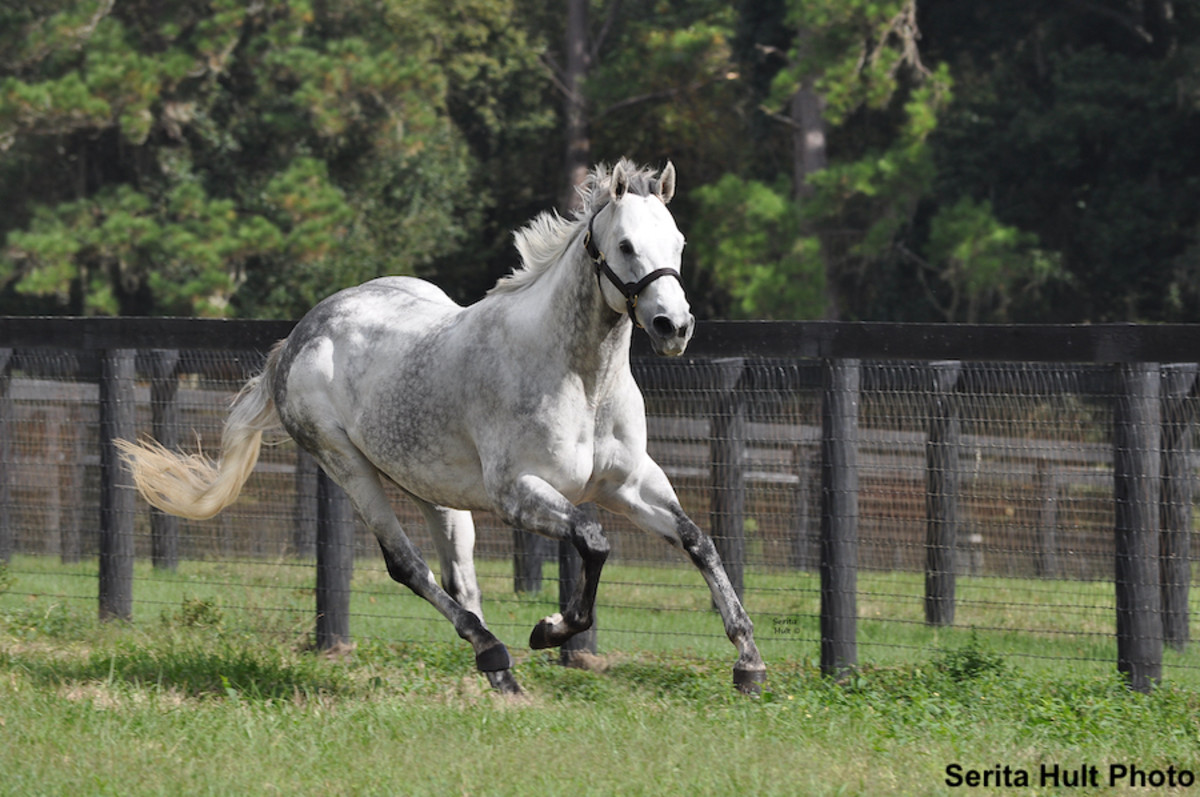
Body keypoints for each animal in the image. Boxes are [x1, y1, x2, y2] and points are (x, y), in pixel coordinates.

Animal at [117, 159, 766, 695]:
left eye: (678, 242)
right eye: (626, 245)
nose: (673, 327)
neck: (580, 380)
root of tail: (303, 332)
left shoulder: (627, 484)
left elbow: (698, 540)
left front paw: (749, 664)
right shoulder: (517, 494)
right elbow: (593, 539)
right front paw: (551, 629)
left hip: (433, 488)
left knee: (461, 576)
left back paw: (503, 676)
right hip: (346, 465)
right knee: (408, 565)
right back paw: (494, 651)